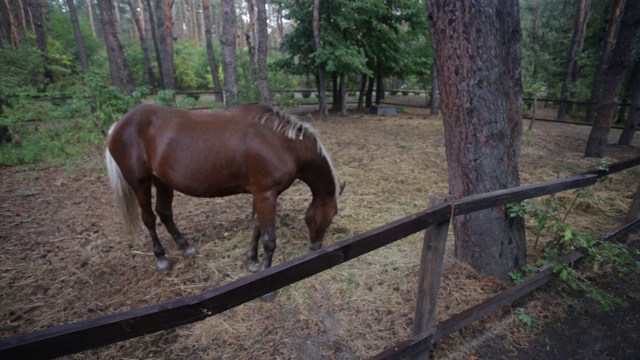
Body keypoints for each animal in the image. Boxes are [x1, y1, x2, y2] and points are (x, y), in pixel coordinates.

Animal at [105, 103, 344, 276]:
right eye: (332, 214)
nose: (316, 247)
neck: (282, 142)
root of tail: (118, 125)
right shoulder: (266, 194)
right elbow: (268, 239)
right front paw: (265, 271)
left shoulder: (260, 194)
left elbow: (256, 227)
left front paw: (252, 261)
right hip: (141, 184)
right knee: (149, 219)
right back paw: (161, 259)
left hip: (163, 182)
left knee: (164, 213)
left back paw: (186, 248)